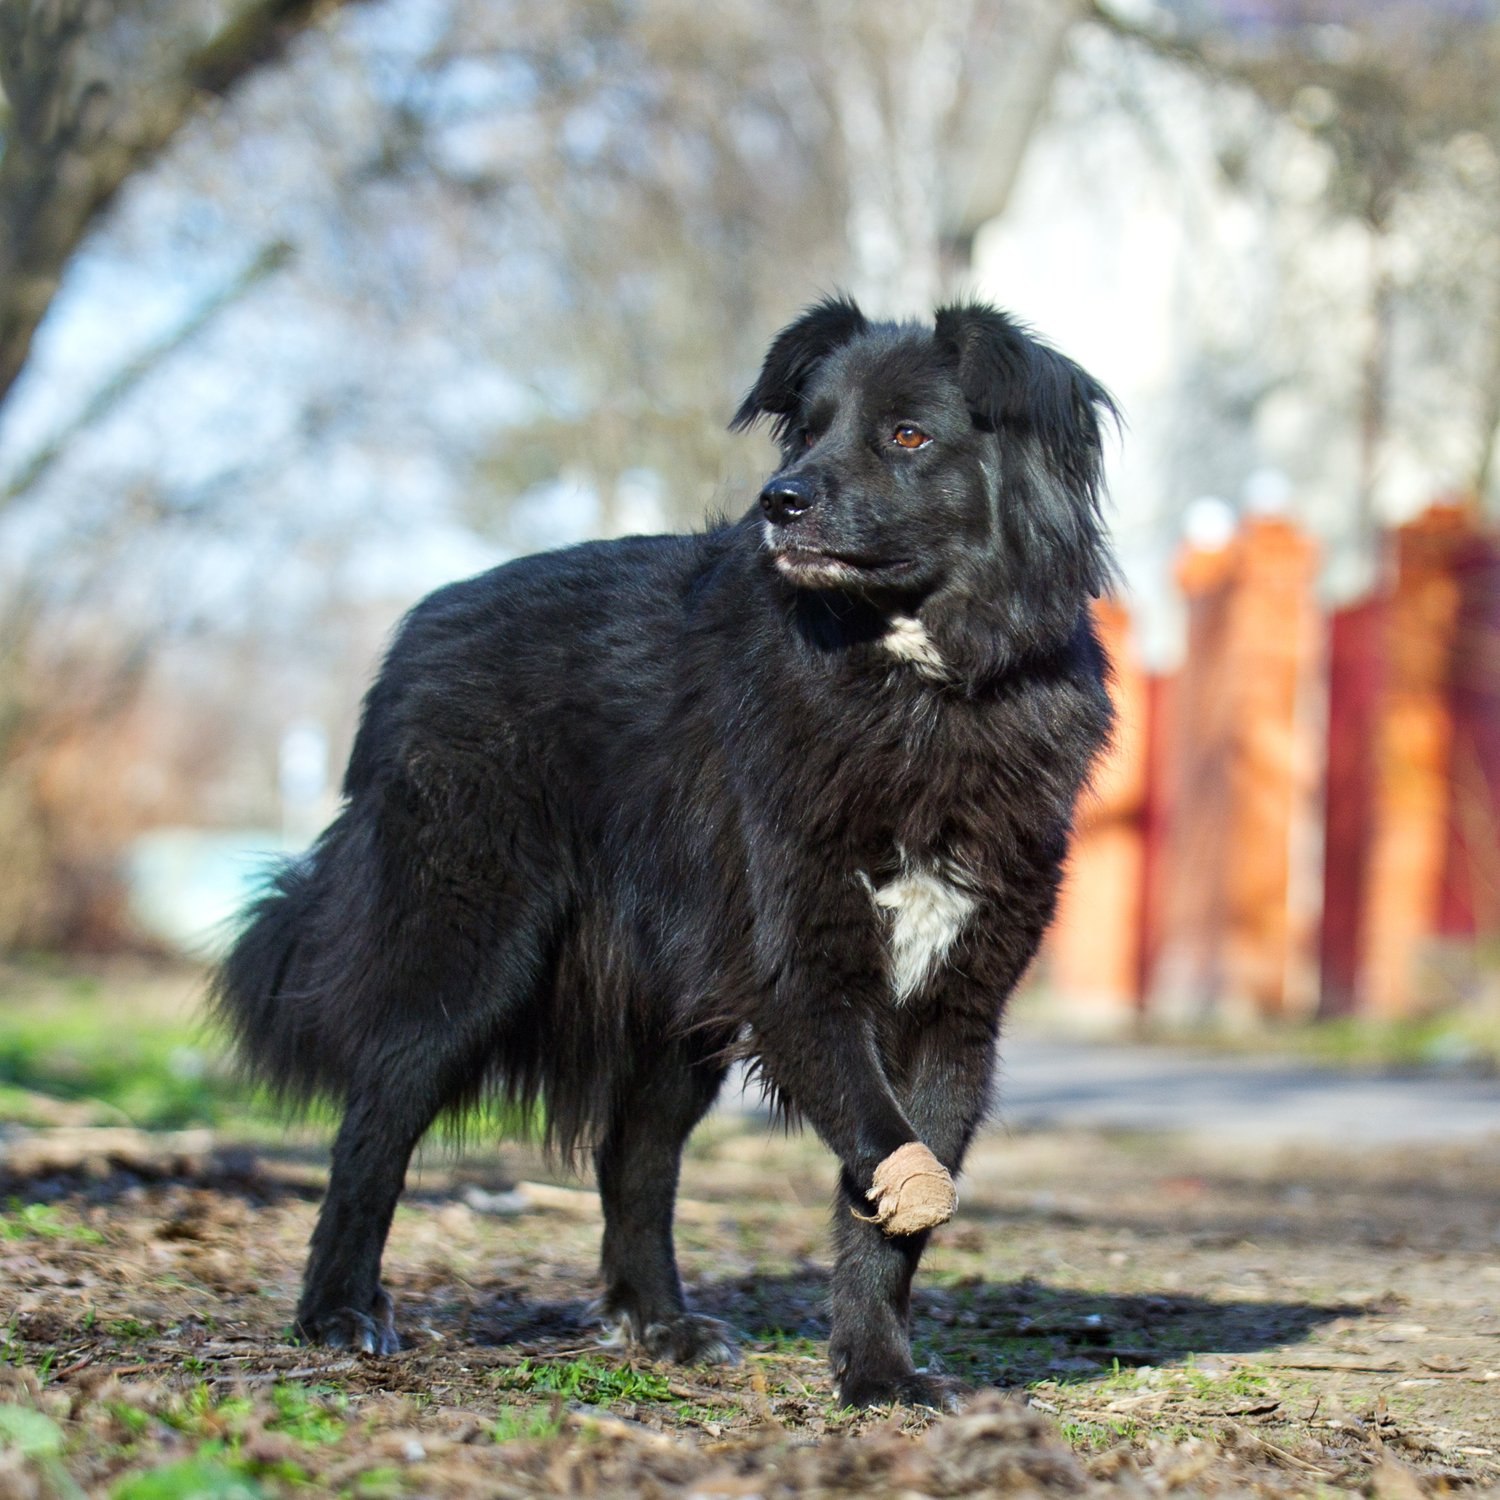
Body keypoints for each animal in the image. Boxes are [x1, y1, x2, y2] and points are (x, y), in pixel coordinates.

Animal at [217, 298, 1122, 1410]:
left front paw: (879, 1372)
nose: (779, 501)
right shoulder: (801, 973)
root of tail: (415, 633)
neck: (916, 690)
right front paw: (878, 1361)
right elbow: (886, 1157)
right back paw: (337, 1314)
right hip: (471, 953)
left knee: (633, 1159)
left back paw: (662, 1324)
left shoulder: (956, 1009)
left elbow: (891, 1216)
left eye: (909, 435)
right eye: (807, 429)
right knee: (375, 1120)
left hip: (672, 1010)